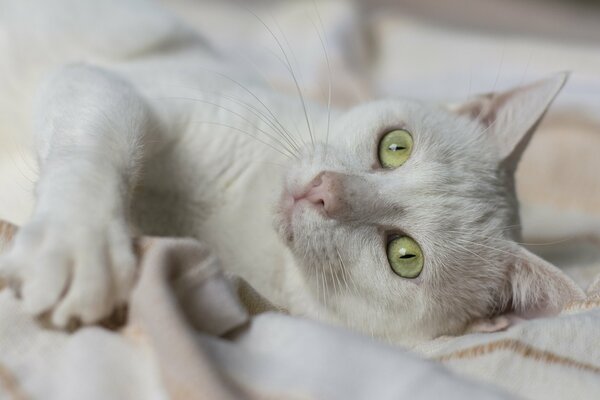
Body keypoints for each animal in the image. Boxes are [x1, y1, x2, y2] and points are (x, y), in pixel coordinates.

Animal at [0, 0, 580, 346]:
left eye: (405, 256)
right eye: (396, 146)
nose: (325, 191)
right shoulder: (115, 84)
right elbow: (97, 142)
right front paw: (78, 242)